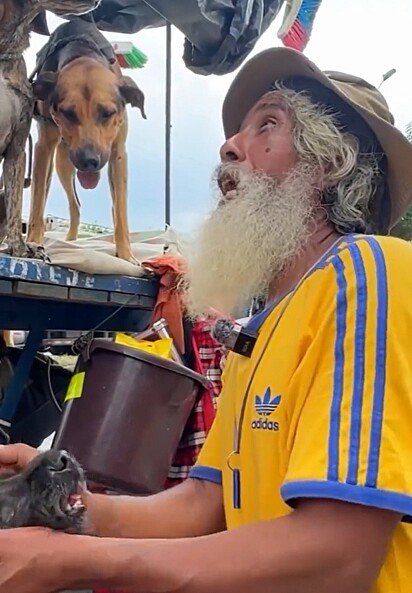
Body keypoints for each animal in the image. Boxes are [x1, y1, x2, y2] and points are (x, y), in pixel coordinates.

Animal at [27, 18, 146, 262]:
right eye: (68, 113)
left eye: (107, 113)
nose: (89, 161)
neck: (81, 52)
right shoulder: (43, 146)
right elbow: (37, 203)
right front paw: (33, 241)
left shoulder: (118, 153)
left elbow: (120, 209)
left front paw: (126, 255)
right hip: (60, 162)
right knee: (63, 202)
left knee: (88, 205)